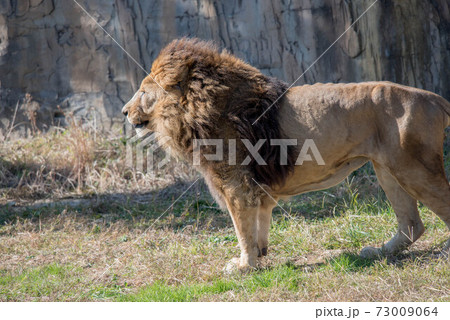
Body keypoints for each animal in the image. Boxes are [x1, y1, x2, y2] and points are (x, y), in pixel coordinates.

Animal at [122, 38, 450, 272]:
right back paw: (377, 251)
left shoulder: (235, 185)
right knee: (412, 225)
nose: (124, 112)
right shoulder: (256, 187)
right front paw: (258, 257)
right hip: (387, 168)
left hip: (414, 167)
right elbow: (259, 224)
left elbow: (242, 228)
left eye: (143, 92)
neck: (192, 110)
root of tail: (435, 98)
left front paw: (243, 266)